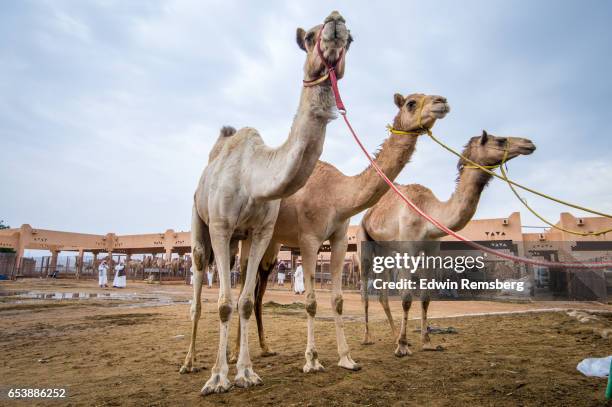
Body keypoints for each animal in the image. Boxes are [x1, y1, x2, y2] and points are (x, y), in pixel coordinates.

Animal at [182, 11, 352, 396]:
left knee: (239, 284)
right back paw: (189, 363)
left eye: (351, 39)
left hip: (238, 242)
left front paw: (245, 372)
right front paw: (217, 378)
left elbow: (243, 302)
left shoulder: (261, 232)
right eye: (309, 37)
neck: (253, 175)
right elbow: (223, 304)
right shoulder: (221, 226)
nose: (335, 20)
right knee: (198, 296)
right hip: (200, 224)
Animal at [232, 92, 452, 372]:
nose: (441, 101)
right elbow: (311, 301)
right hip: (248, 234)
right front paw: (312, 360)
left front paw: (347, 358)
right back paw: (233, 355)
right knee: (241, 286)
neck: (338, 194)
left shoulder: (339, 238)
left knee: (256, 291)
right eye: (411, 103)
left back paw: (265, 348)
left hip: (271, 243)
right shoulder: (309, 239)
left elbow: (337, 300)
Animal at [358, 131, 536, 356]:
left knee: (383, 294)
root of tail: (368, 214)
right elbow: (406, 297)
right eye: (501, 140)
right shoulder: (408, 250)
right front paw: (402, 347)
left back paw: (393, 336)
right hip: (364, 241)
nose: (529, 144)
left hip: (386, 249)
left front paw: (426, 342)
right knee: (365, 289)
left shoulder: (431, 250)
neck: (428, 215)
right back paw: (368, 338)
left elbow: (426, 297)